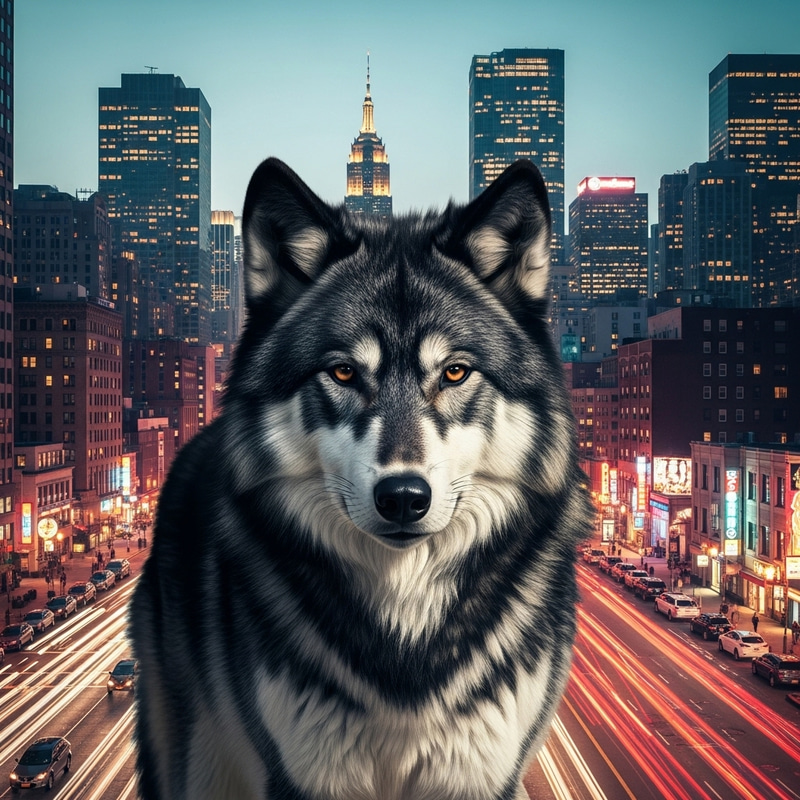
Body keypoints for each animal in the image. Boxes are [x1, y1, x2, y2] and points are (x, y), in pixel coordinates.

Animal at [130, 157, 593, 800]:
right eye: (344, 372)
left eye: (455, 372)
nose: (403, 497)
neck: (404, 634)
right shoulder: (304, 778)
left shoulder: (480, 776)